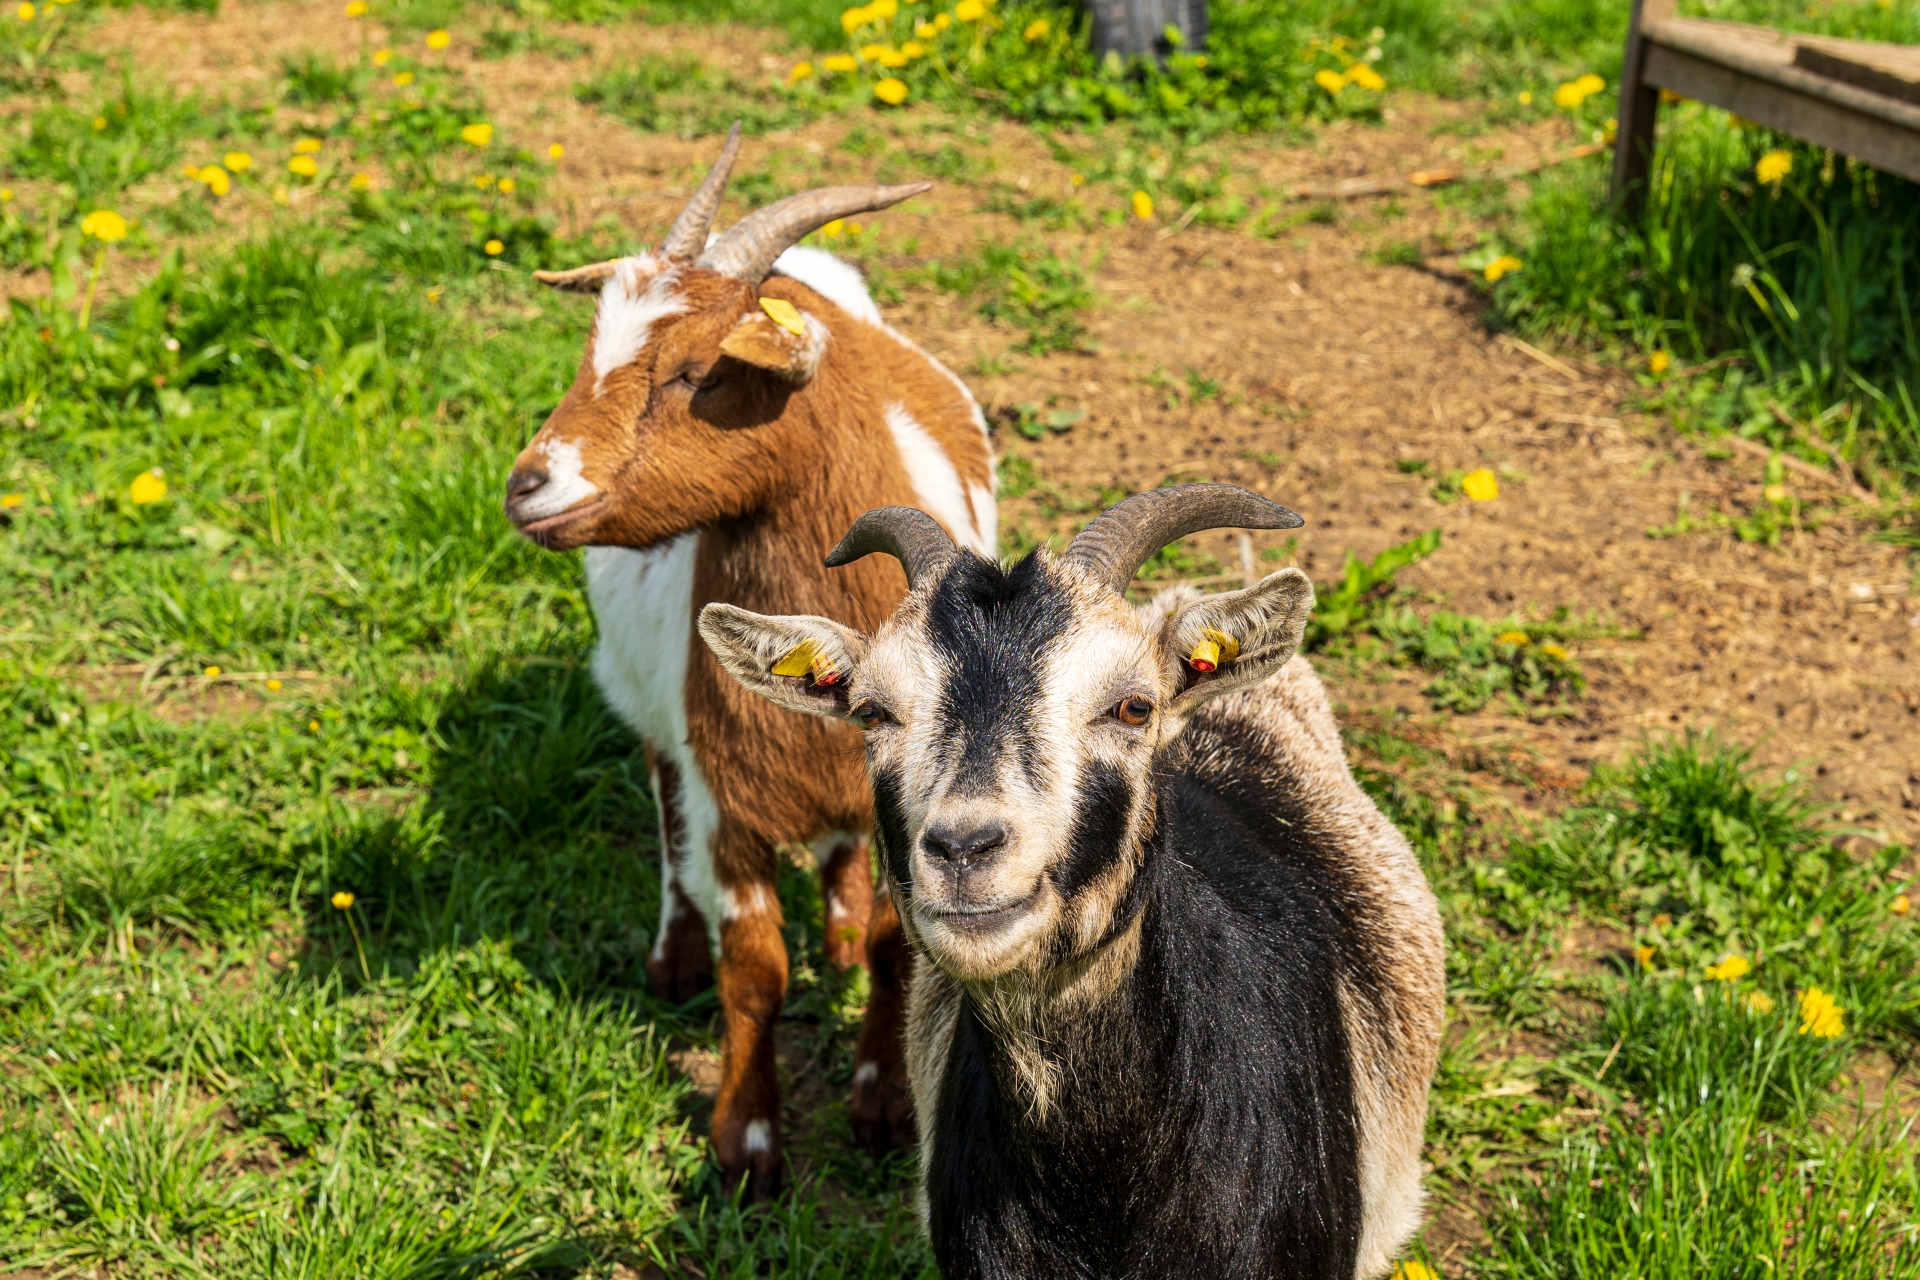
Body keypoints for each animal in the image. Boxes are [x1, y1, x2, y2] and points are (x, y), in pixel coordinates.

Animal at [503, 124, 998, 1197]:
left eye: (699, 371)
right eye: (590, 353)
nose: (528, 484)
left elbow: (898, 950)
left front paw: (883, 1100)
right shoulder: (724, 791)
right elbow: (756, 968)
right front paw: (747, 1141)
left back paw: (840, 924)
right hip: (648, 704)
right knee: (660, 803)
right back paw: (673, 954)